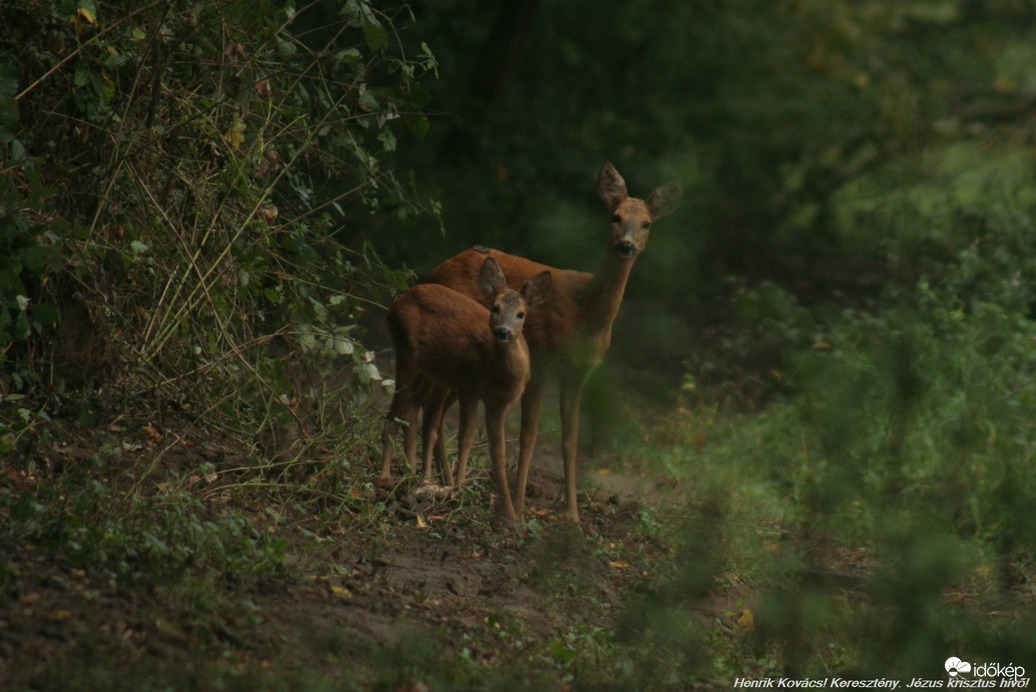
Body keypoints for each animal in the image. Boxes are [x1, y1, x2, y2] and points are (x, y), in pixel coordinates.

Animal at [375, 257, 551, 517]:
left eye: (521, 314)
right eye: (495, 308)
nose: (503, 332)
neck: (501, 373)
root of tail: (400, 300)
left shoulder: (500, 403)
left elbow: (498, 454)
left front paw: (510, 514)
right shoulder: (470, 387)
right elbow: (465, 438)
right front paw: (458, 489)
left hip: (430, 370)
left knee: (414, 408)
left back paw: (414, 475)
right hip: (407, 353)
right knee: (394, 416)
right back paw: (386, 478)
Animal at [424, 162, 683, 522]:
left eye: (646, 223)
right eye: (615, 217)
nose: (626, 245)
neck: (584, 314)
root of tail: (434, 271)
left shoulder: (579, 372)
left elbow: (570, 440)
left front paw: (572, 516)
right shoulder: (543, 360)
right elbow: (528, 434)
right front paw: (519, 509)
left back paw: (445, 481)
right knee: (434, 405)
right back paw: (436, 481)